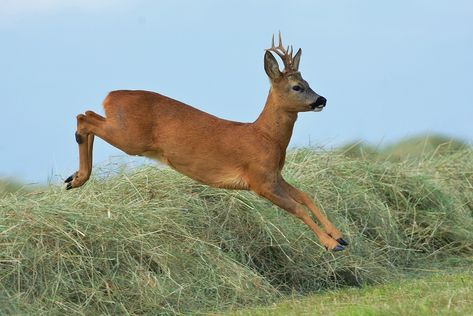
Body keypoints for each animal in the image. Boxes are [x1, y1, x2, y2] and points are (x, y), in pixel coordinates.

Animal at [65, 34, 346, 252]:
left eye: (308, 82)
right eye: (297, 87)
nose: (322, 100)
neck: (266, 137)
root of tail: (109, 96)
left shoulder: (274, 175)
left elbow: (305, 197)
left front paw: (340, 236)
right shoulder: (259, 180)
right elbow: (296, 208)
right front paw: (330, 244)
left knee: (86, 115)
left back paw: (74, 178)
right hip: (129, 137)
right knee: (84, 118)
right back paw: (78, 178)